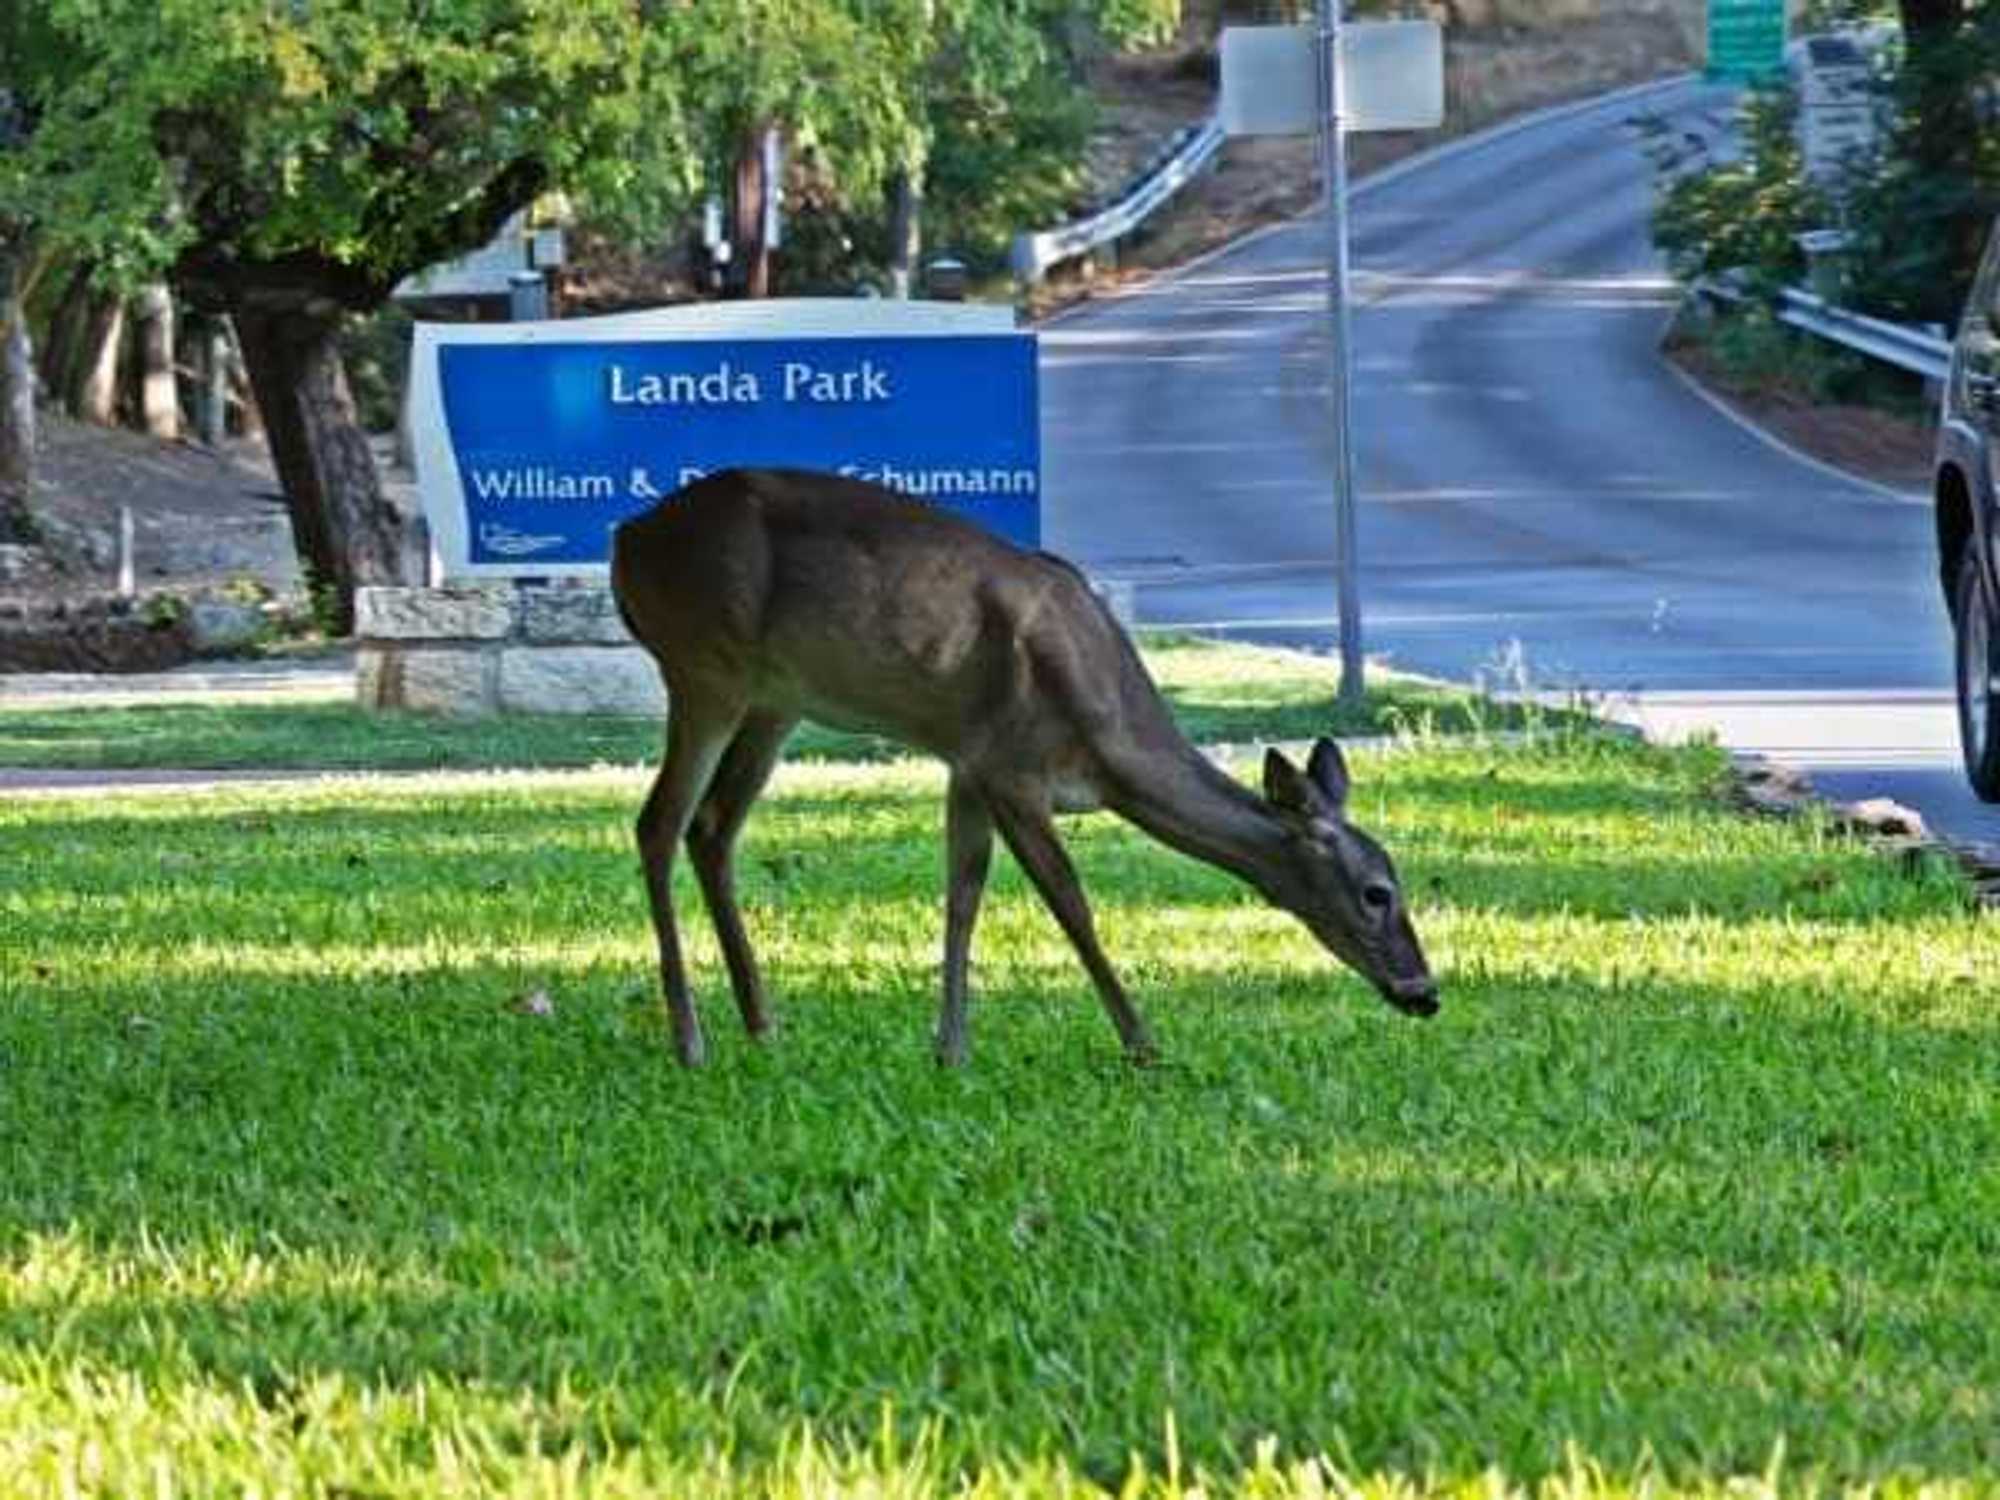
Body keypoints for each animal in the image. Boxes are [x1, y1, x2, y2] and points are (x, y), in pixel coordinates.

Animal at [610, 467, 1438, 1068]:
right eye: (1377, 892)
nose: (1424, 992)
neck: (1108, 748)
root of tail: (628, 539)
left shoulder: (968, 765)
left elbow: (962, 896)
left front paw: (950, 1049)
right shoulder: (1012, 767)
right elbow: (1071, 903)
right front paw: (1143, 1045)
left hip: (777, 699)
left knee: (712, 827)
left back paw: (762, 1023)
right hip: (706, 664)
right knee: (659, 822)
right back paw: (691, 1039)